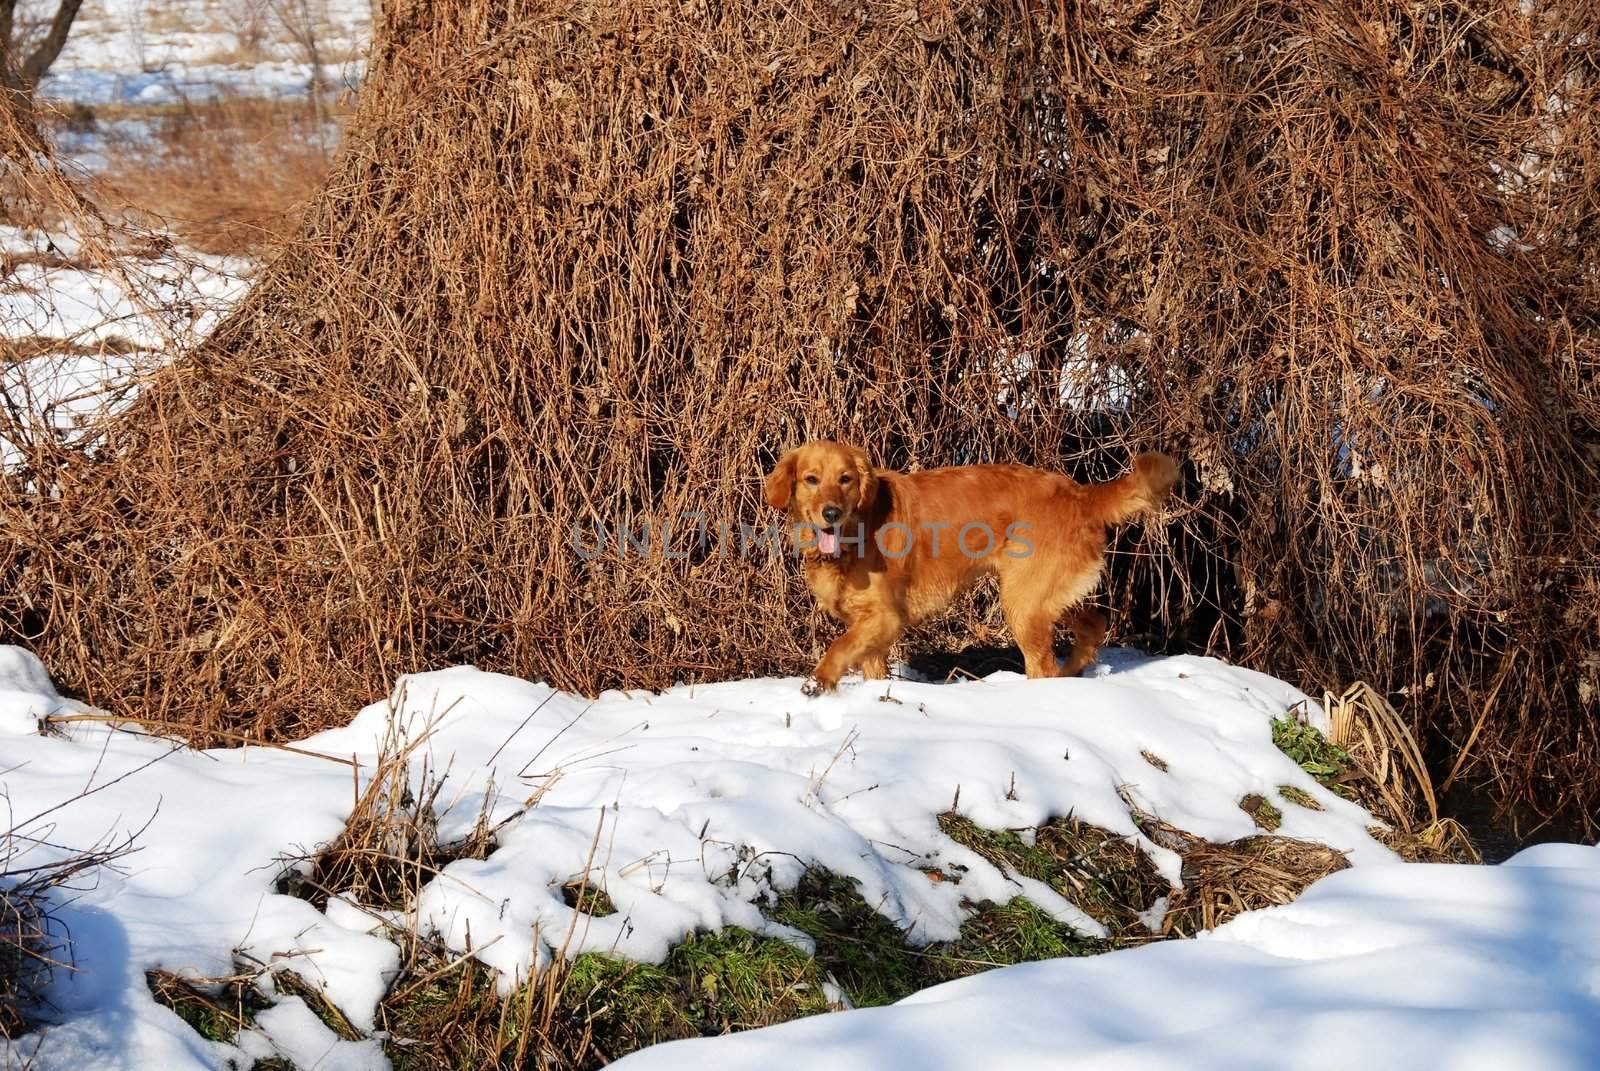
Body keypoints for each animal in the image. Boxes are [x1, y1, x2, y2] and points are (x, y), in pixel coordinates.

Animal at [761, 441, 1177, 697]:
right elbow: (865, 661)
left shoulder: (885, 617)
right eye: (811, 479)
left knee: (1044, 665)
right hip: (1049, 596)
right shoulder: (868, 627)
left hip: (1023, 603)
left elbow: (837, 647)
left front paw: (817, 684)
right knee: (1093, 625)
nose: (831, 513)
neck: (857, 530)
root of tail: (1079, 493)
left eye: (845, 479)